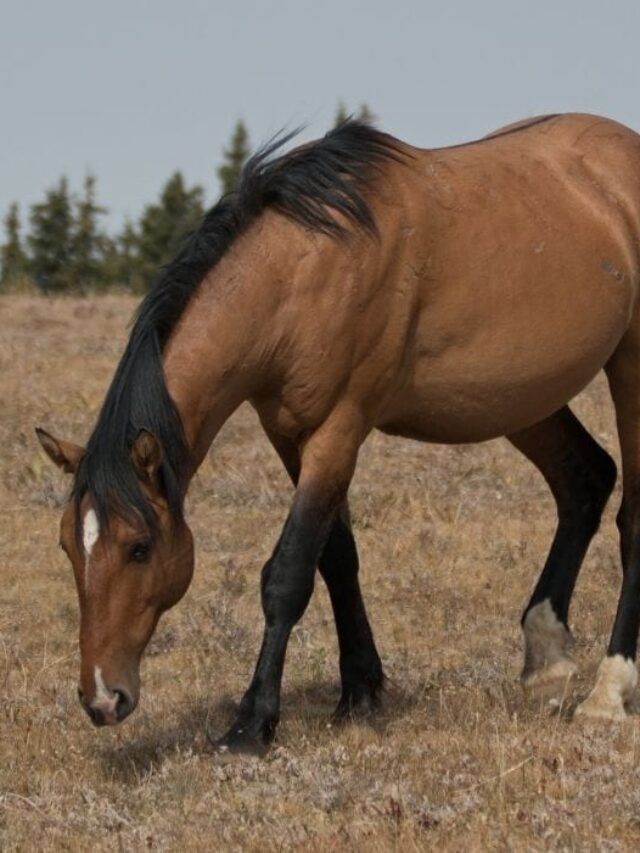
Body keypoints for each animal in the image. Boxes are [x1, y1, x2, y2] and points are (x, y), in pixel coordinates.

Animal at [37, 113, 640, 753]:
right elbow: (337, 560)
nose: (103, 699)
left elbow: (289, 572)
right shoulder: (289, 436)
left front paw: (252, 722)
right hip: (521, 399)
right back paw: (547, 659)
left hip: (628, 370)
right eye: (68, 545)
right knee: (584, 480)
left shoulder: (338, 431)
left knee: (631, 519)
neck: (308, 269)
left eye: (139, 547)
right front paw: (360, 692)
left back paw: (607, 693)